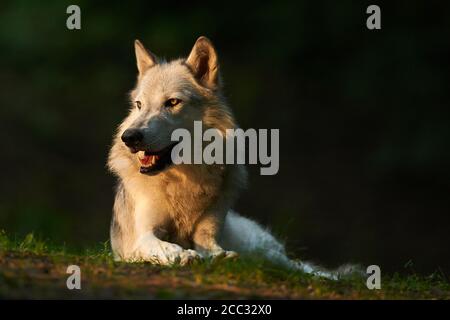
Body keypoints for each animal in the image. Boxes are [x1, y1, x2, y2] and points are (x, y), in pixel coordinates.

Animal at [108, 36, 352, 278]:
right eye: (139, 105)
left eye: (173, 102)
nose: (129, 137)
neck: (185, 178)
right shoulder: (142, 237)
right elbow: (164, 246)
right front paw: (181, 255)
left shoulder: (207, 231)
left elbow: (210, 246)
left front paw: (217, 257)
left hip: (267, 252)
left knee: (298, 266)